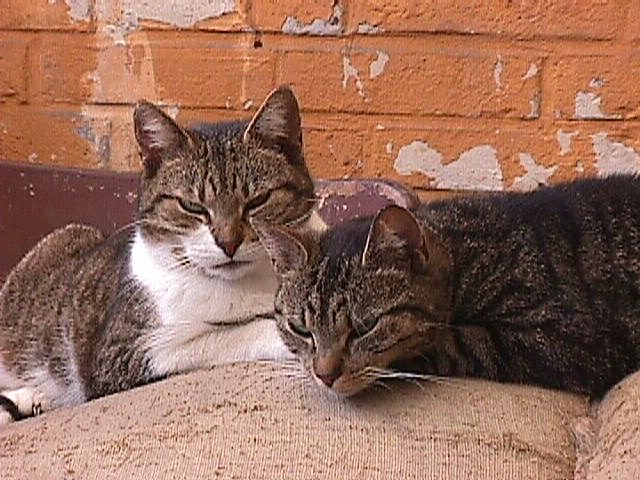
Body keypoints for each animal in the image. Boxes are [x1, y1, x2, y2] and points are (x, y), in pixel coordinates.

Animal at [254, 176, 640, 398]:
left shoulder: (564, 338)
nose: (324, 375)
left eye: (366, 327)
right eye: (300, 329)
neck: (464, 259)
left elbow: (453, 341)